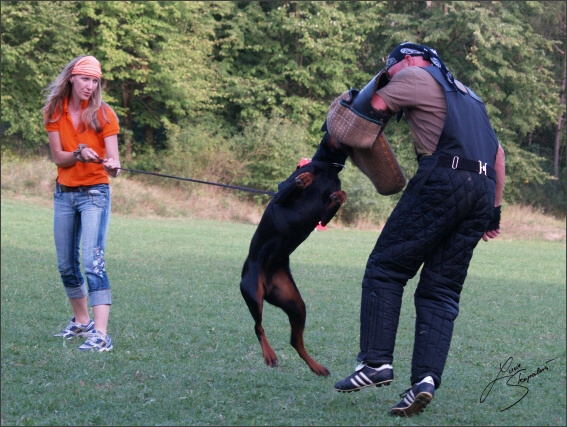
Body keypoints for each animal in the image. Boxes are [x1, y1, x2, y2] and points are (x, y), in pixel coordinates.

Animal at [239, 130, 348, 378]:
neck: (327, 169)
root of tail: (267, 285)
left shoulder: (323, 218)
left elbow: (336, 199)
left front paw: (341, 196)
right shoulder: (280, 197)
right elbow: (294, 185)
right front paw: (304, 179)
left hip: (295, 304)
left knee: (295, 341)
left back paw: (316, 367)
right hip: (253, 293)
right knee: (258, 326)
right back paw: (269, 355)